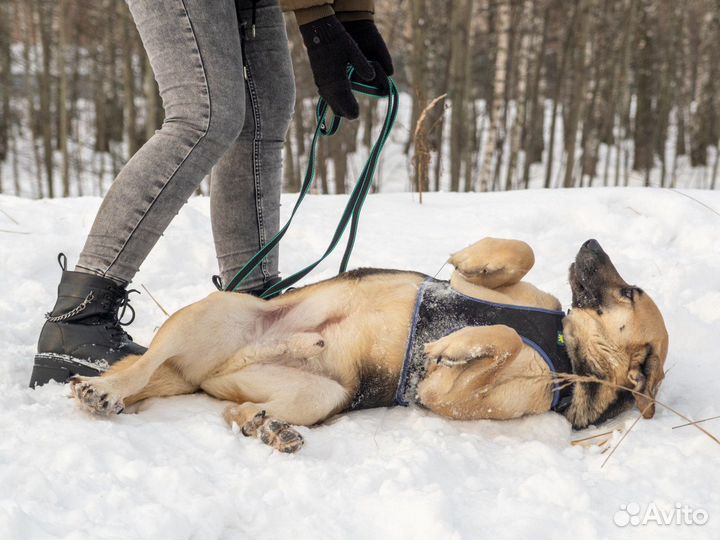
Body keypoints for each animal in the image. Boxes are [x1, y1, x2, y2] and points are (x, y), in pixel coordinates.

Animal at [70, 238, 668, 454]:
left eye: (629, 291)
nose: (590, 241)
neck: (565, 350)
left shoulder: (445, 395)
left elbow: (493, 339)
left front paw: (453, 345)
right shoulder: (500, 290)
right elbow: (517, 256)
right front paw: (465, 263)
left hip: (321, 397)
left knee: (233, 411)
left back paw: (266, 428)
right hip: (219, 314)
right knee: (142, 366)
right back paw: (106, 389)